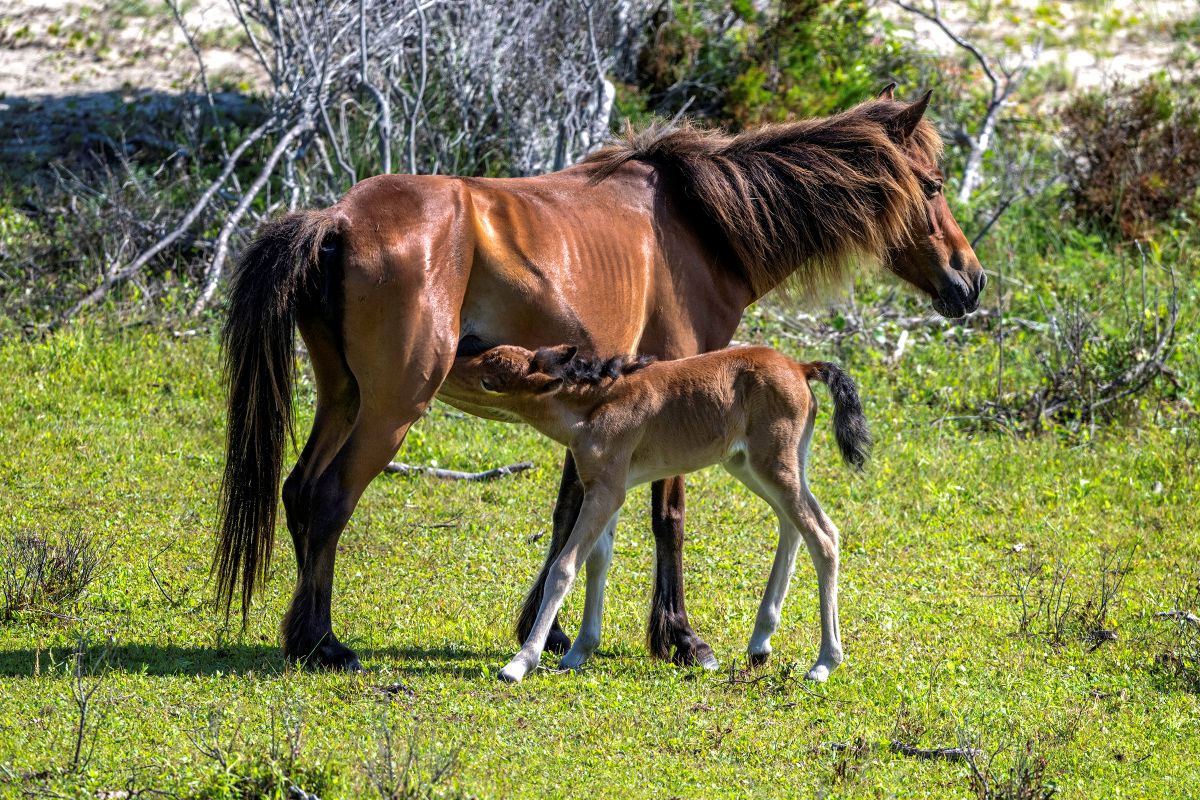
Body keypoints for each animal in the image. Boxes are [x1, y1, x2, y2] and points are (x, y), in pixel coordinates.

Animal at [445, 343, 870, 682]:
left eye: (489, 380)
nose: (450, 363)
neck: (595, 407)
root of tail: (800, 366)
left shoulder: (606, 492)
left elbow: (564, 568)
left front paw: (521, 662)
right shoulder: (608, 489)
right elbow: (598, 560)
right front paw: (580, 650)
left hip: (774, 466)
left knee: (824, 535)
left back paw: (824, 663)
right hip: (753, 465)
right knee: (792, 526)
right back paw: (760, 642)